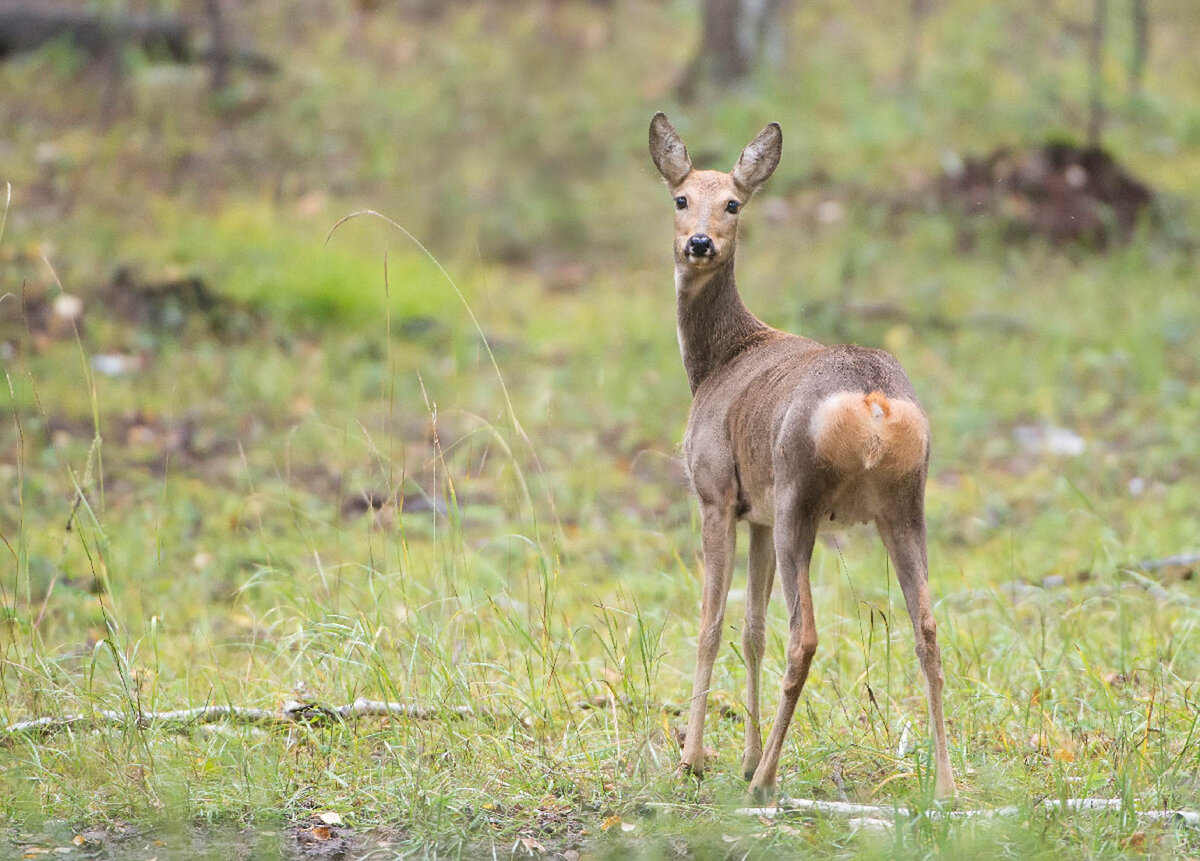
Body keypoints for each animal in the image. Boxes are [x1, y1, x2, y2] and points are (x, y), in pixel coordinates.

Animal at [648, 112, 955, 801]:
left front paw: (694, 759)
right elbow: (750, 630)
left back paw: (764, 784)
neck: (718, 361)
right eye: (680, 198)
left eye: (733, 203)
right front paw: (738, 755)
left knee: (805, 637)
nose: (700, 243)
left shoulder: (715, 493)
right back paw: (947, 786)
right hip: (906, 504)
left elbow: (710, 624)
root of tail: (873, 404)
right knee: (926, 629)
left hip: (801, 499)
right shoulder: (756, 511)